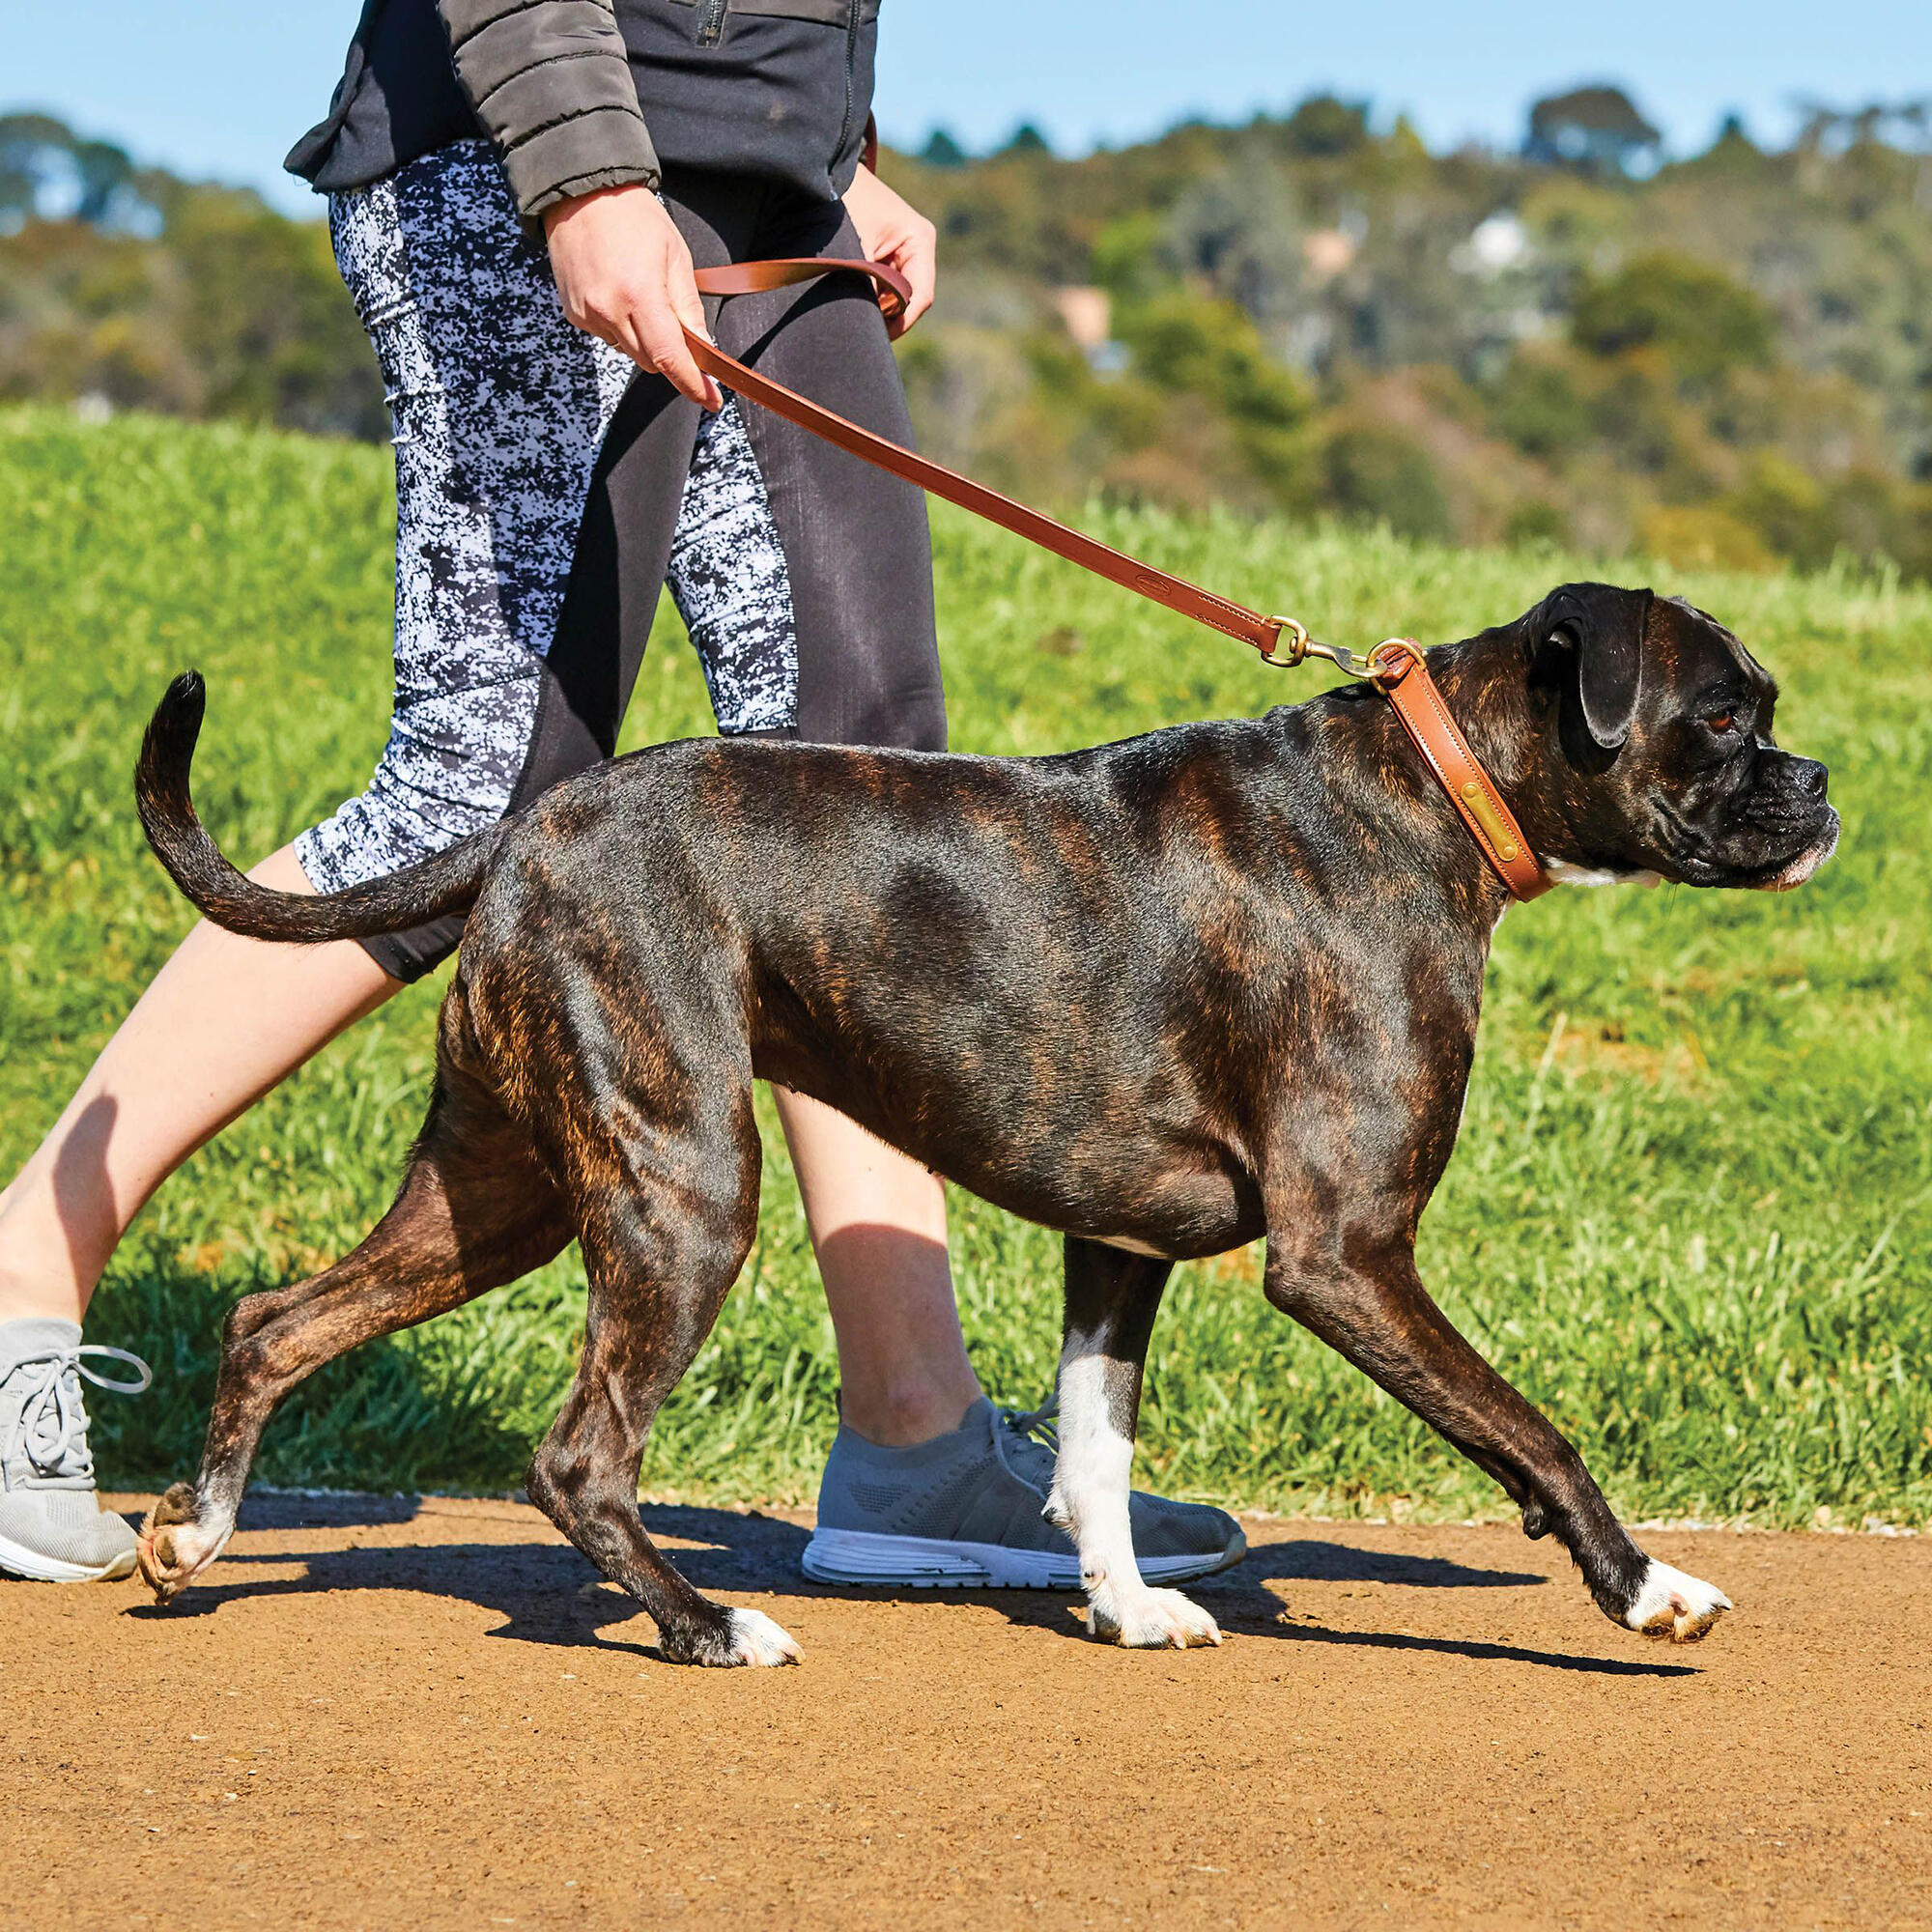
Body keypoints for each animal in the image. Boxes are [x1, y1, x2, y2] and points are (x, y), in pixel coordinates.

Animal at [132, 576, 1839, 1662]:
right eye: (1725, 716)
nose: (1823, 783)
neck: (1434, 784)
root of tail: (528, 826)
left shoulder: (1121, 1248)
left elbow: (1093, 1448)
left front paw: (1125, 1607)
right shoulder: (1348, 1257)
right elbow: (1530, 1430)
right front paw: (1643, 1588)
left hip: (505, 1190)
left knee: (277, 1320)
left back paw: (195, 1534)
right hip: (682, 1194)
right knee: (577, 1458)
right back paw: (703, 1627)